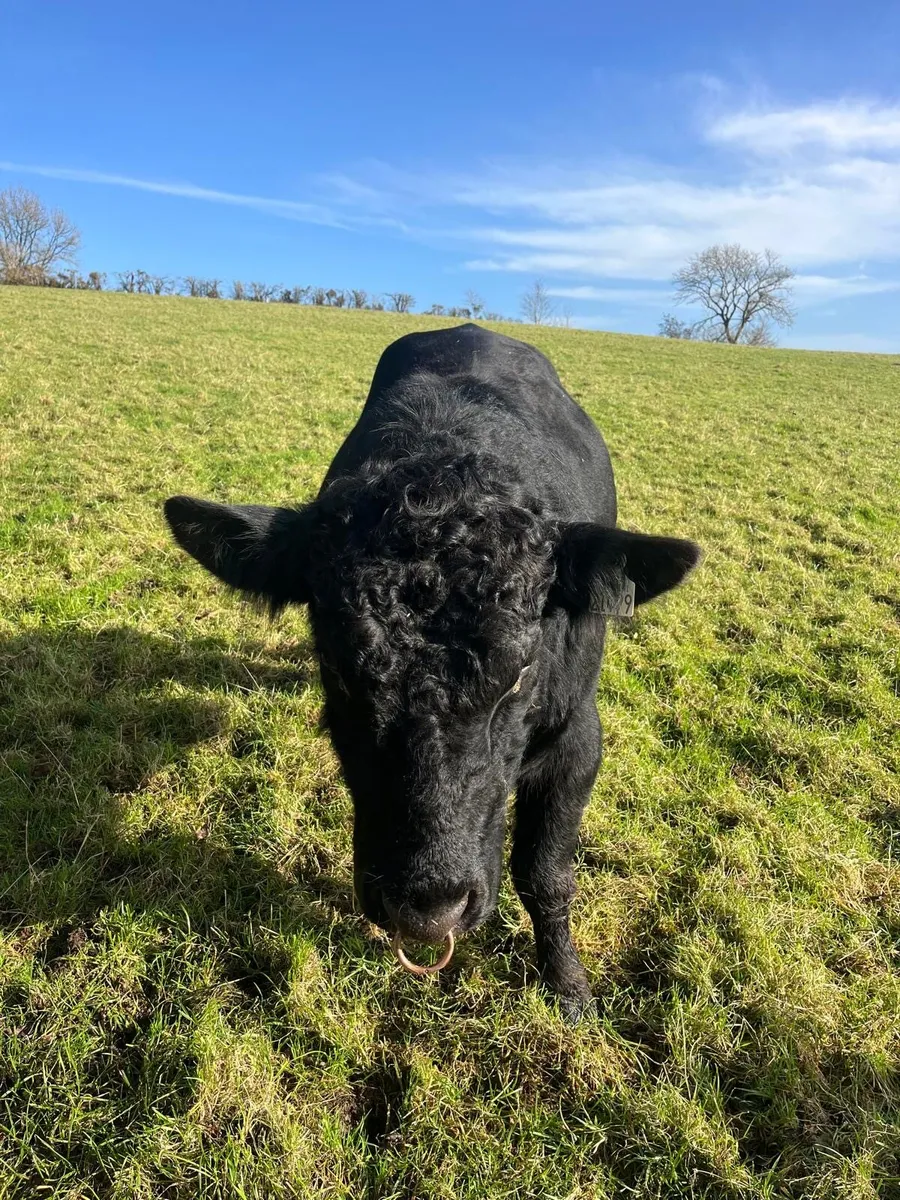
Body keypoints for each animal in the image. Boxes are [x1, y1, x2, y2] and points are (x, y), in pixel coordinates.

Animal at [164, 323, 700, 1020]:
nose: (427, 910)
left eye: (520, 675)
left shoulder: (578, 736)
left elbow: (546, 872)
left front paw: (568, 986)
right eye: (337, 668)